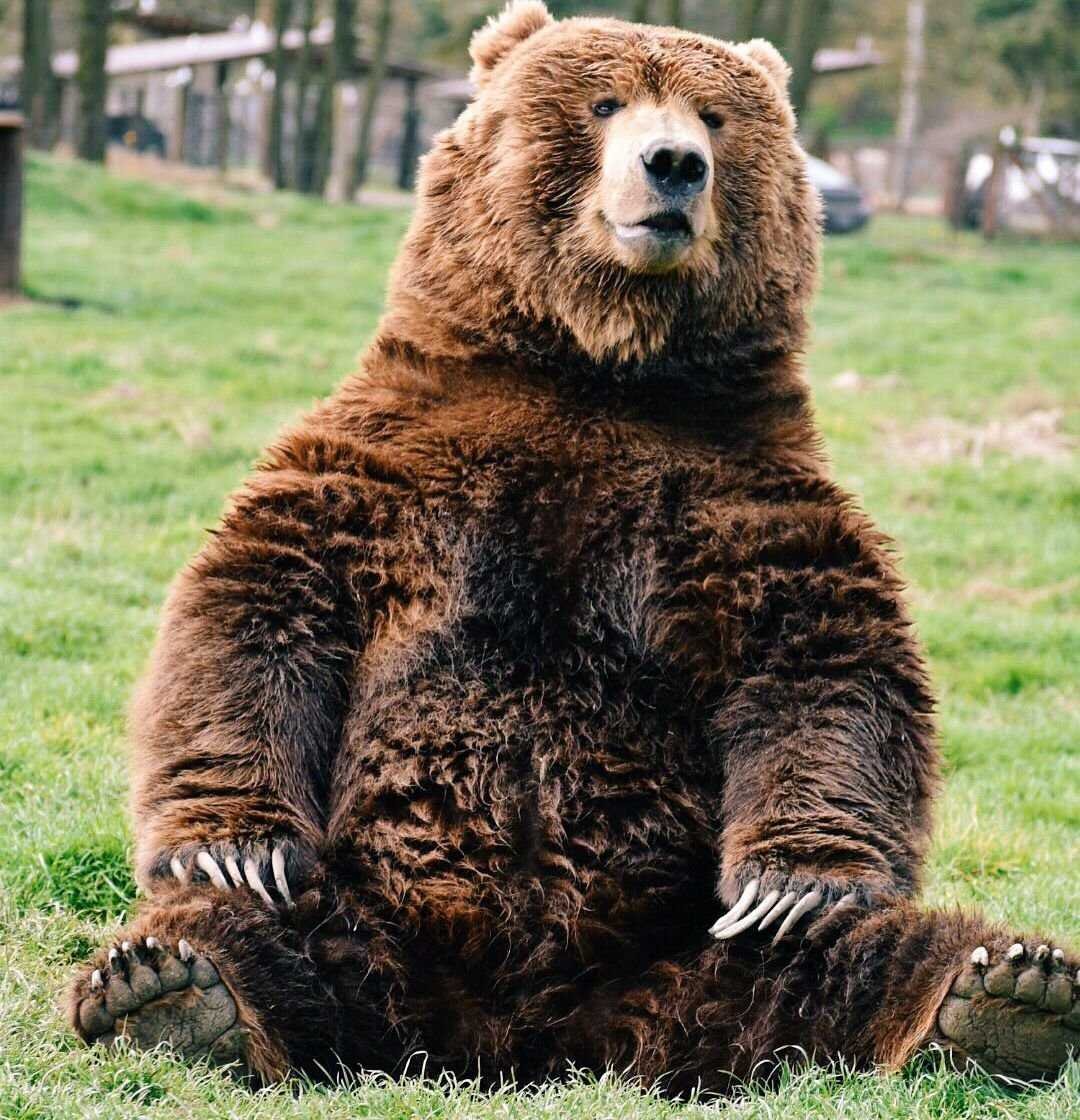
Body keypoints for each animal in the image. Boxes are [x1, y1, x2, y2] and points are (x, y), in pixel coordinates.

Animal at [68, 2, 1078, 1094]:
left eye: (714, 116)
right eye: (605, 103)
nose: (674, 164)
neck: (597, 367)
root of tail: (526, 1035)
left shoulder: (745, 493)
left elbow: (824, 662)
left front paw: (797, 882)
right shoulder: (389, 463)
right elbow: (259, 604)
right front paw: (233, 849)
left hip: (691, 937)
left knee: (832, 960)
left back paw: (1002, 993)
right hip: (374, 912)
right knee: (276, 936)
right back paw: (169, 989)